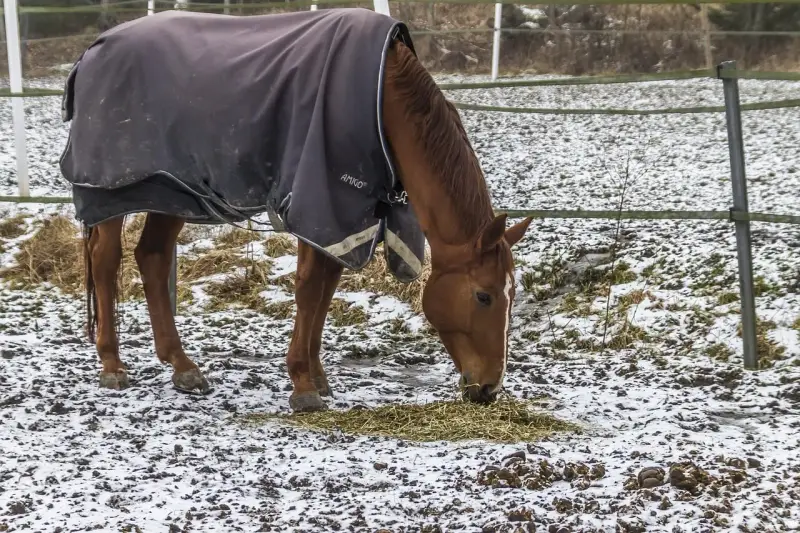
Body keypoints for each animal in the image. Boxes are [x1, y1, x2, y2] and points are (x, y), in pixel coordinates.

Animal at [61, 8, 534, 412]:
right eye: (484, 295)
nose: (489, 387)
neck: (383, 99)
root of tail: (92, 51)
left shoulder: (348, 219)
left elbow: (325, 291)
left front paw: (317, 377)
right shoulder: (317, 204)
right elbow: (308, 290)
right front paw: (303, 386)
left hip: (172, 190)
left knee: (153, 258)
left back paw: (183, 366)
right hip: (113, 192)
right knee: (106, 262)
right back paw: (112, 365)